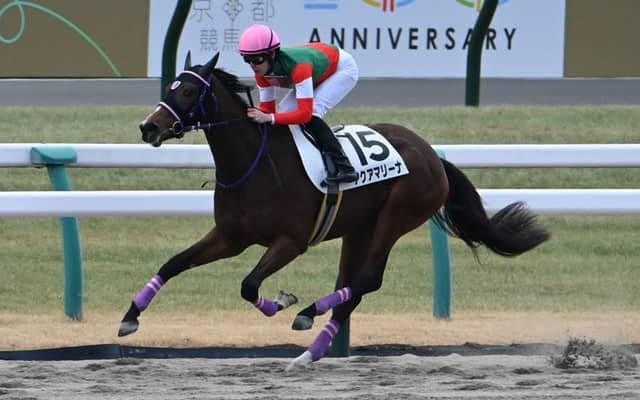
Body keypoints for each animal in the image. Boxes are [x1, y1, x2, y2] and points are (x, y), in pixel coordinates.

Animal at [119, 52, 550, 370]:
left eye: (190, 90)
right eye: (171, 87)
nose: (148, 127)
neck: (254, 164)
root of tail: (431, 155)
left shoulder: (290, 242)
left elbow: (249, 285)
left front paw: (283, 301)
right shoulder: (230, 237)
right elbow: (174, 263)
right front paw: (129, 318)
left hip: (397, 216)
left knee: (368, 280)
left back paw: (309, 313)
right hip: (360, 228)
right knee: (353, 288)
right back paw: (310, 351)